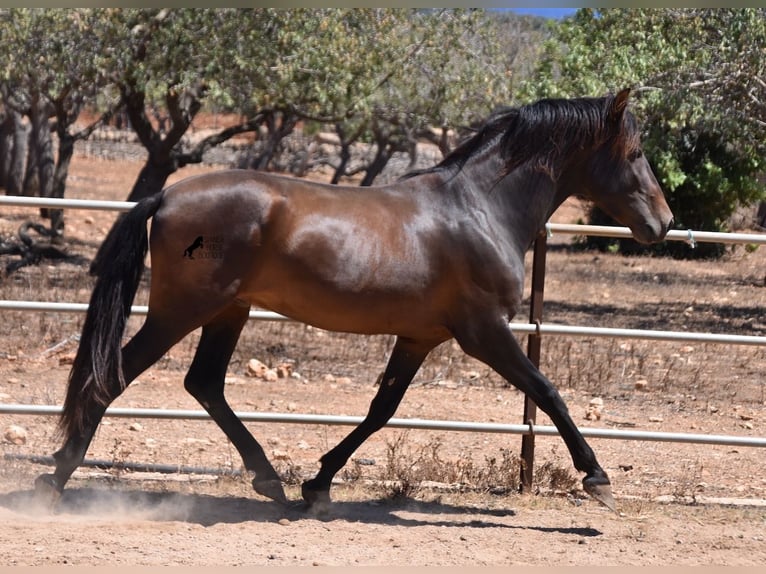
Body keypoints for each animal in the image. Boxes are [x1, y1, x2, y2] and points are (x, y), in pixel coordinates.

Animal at [34, 89, 672, 512]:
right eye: (636, 150)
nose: (663, 223)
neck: (480, 209)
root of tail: (164, 197)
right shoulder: (484, 332)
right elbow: (548, 392)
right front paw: (597, 477)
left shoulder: (420, 337)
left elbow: (380, 410)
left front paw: (319, 484)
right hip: (181, 311)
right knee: (113, 376)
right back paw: (55, 480)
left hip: (228, 311)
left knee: (205, 384)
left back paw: (270, 482)